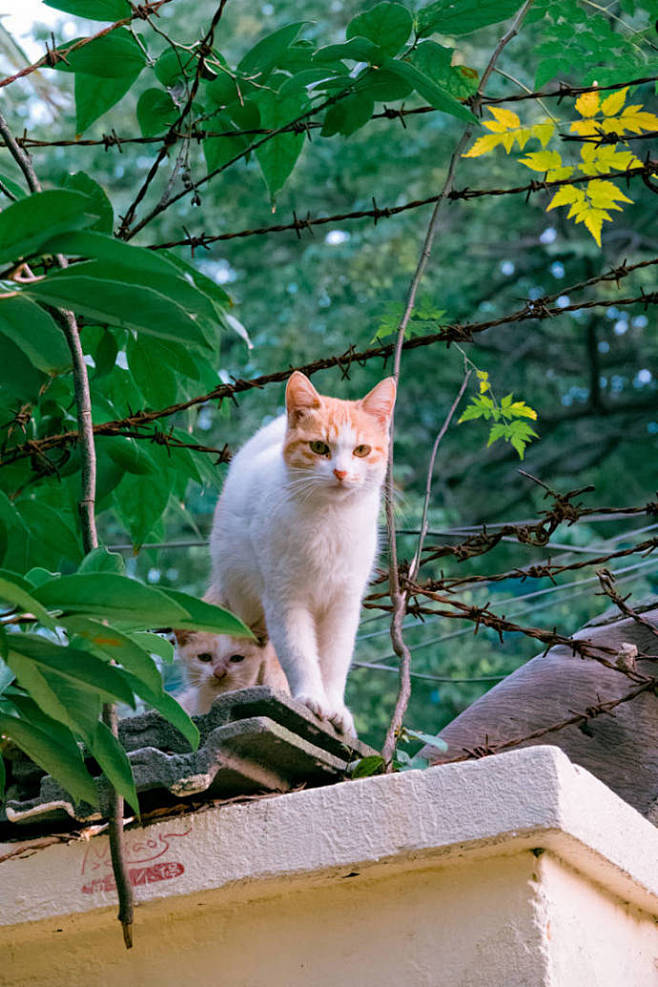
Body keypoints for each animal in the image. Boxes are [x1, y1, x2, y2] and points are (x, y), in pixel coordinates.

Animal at [209, 370, 394, 732]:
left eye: (362, 450)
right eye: (319, 447)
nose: (340, 472)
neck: (329, 521)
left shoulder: (344, 603)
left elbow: (336, 660)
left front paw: (335, 707)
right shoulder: (285, 598)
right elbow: (299, 653)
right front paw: (310, 698)